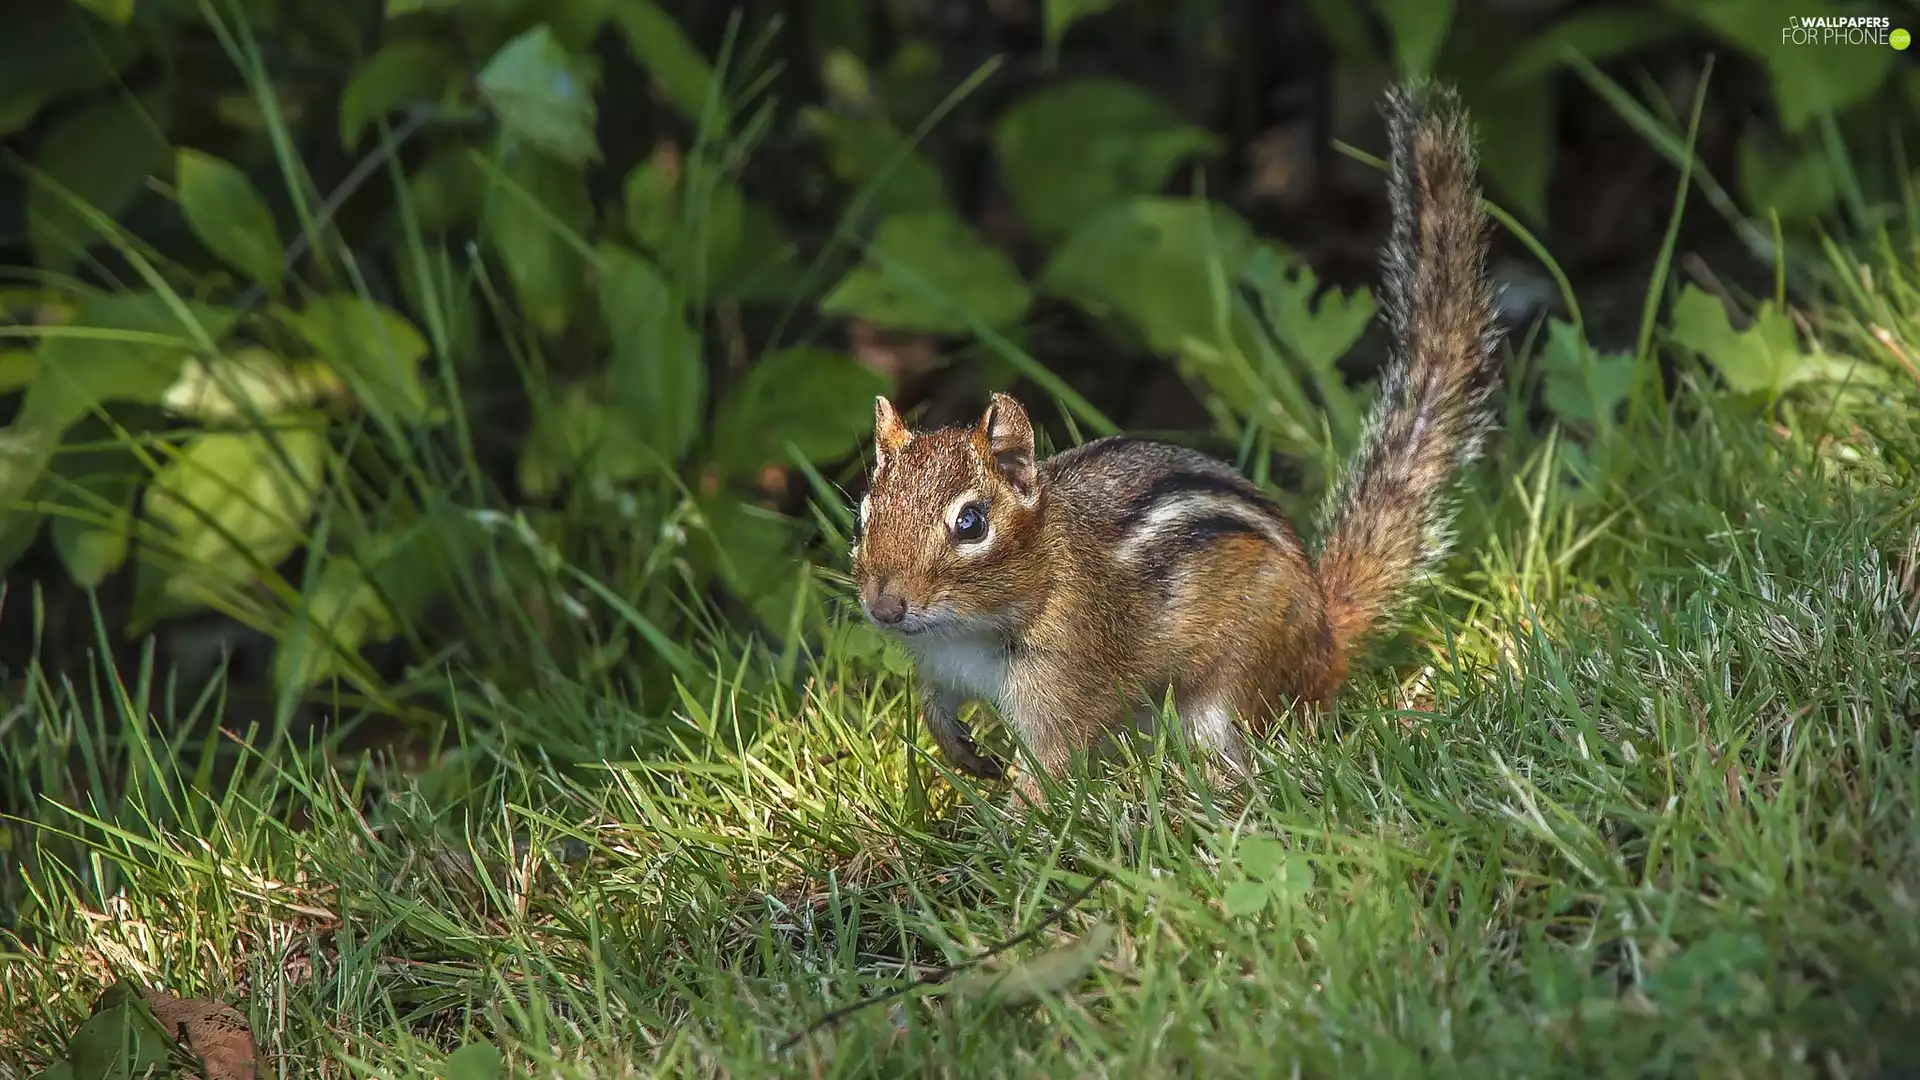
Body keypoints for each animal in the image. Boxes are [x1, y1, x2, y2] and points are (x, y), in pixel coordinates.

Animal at [848, 80, 1503, 807]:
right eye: (864, 515)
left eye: (971, 523)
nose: (883, 607)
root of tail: (1324, 641)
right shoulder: (940, 666)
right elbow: (934, 705)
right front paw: (960, 751)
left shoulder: (1068, 680)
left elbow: (1049, 767)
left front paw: (1007, 825)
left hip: (1234, 679)